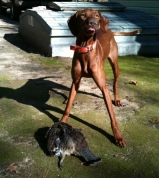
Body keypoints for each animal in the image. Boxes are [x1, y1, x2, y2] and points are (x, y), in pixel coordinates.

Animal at [60, 8, 139, 147]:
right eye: (83, 15)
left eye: (97, 15)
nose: (93, 23)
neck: (85, 48)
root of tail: (109, 30)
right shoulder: (75, 81)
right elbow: (67, 108)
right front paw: (62, 121)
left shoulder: (103, 87)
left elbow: (112, 117)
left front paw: (118, 137)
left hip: (114, 64)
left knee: (115, 82)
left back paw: (117, 99)